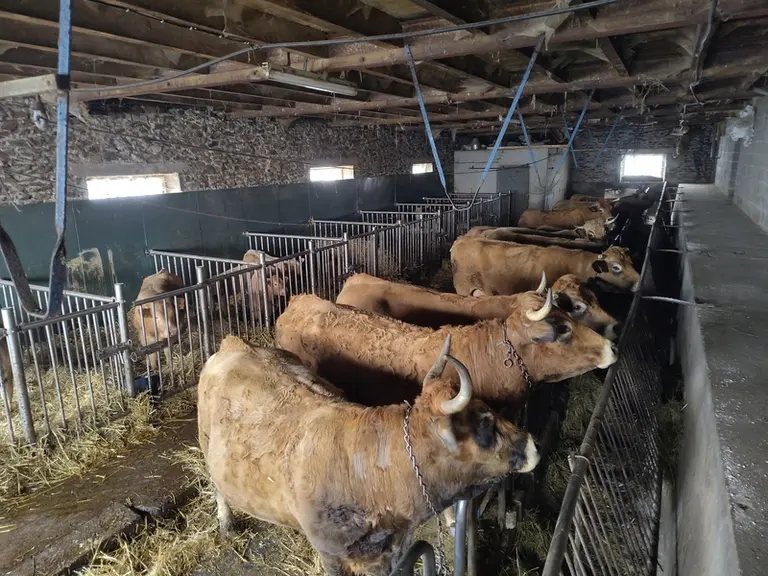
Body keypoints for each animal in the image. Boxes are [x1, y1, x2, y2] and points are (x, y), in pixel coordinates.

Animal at [199, 334, 539, 576]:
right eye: (484, 422)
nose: (532, 445)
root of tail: (236, 342)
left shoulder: (393, 547)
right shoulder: (332, 555)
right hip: (205, 442)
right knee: (217, 487)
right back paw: (227, 524)